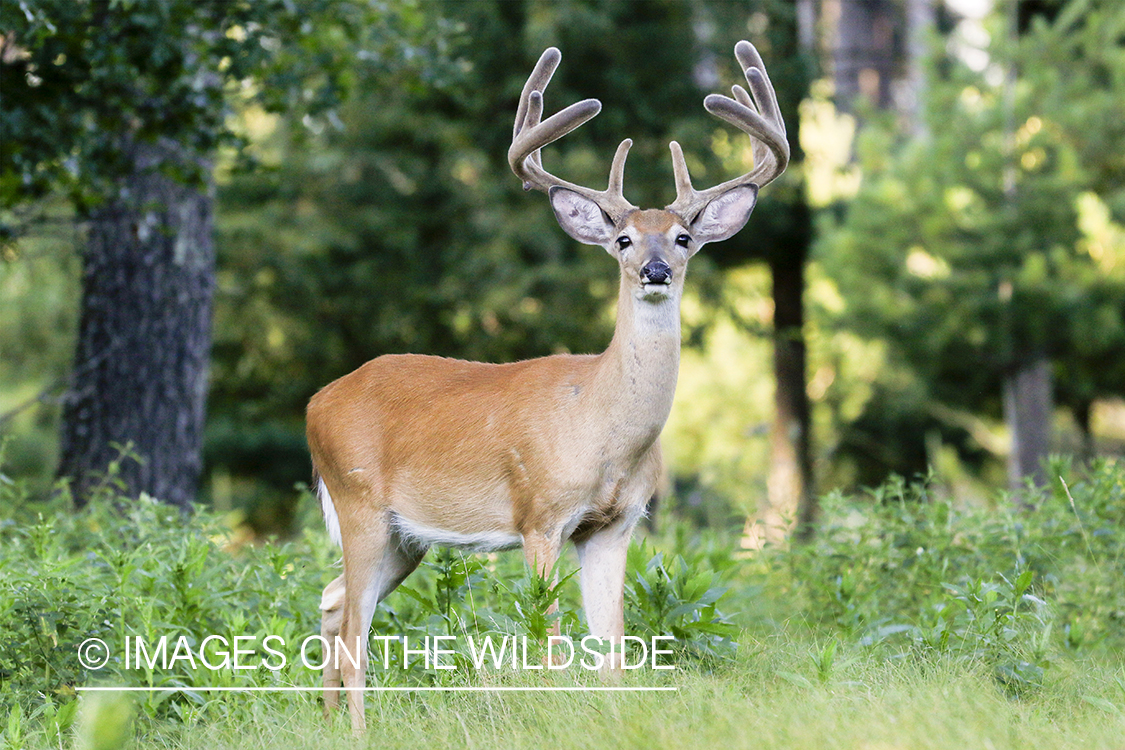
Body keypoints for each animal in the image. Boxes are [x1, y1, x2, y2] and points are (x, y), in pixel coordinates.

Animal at [303, 39, 787, 733]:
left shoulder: (614, 525)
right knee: (354, 636)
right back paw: (358, 731)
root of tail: (317, 401)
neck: (604, 428)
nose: (656, 270)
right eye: (623, 238)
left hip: (405, 537)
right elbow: (549, 646)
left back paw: (325, 718)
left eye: (684, 237)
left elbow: (613, 653)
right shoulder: (540, 515)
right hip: (359, 500)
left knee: (333, 600)